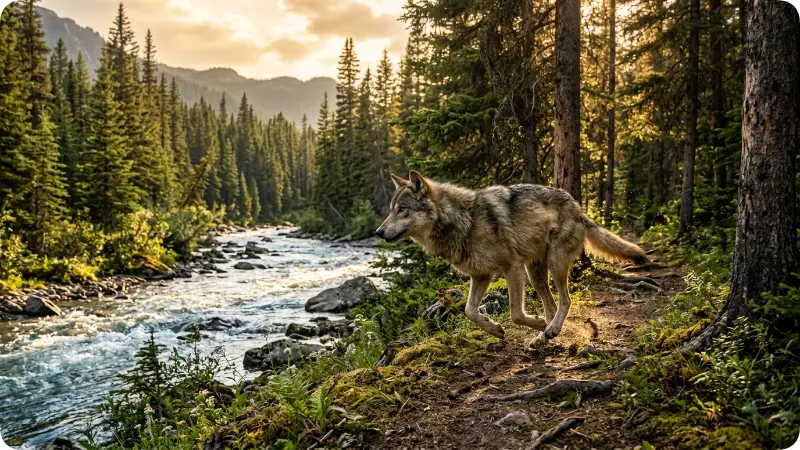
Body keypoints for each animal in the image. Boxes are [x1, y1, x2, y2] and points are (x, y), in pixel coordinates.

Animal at [375, 171, 646, 340]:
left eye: (402, 209)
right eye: (390, 210)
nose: (378, 232)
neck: (465, 221)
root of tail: (578, 207)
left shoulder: (512, 268)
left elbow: (515, 313)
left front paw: (533, 322)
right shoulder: (481, 276)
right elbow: (470, 311)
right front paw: (494, 329)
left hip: (554, 264)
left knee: (566, 300)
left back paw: (549, 329)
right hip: (535, 273)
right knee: (551, 304)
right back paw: (544, 336)